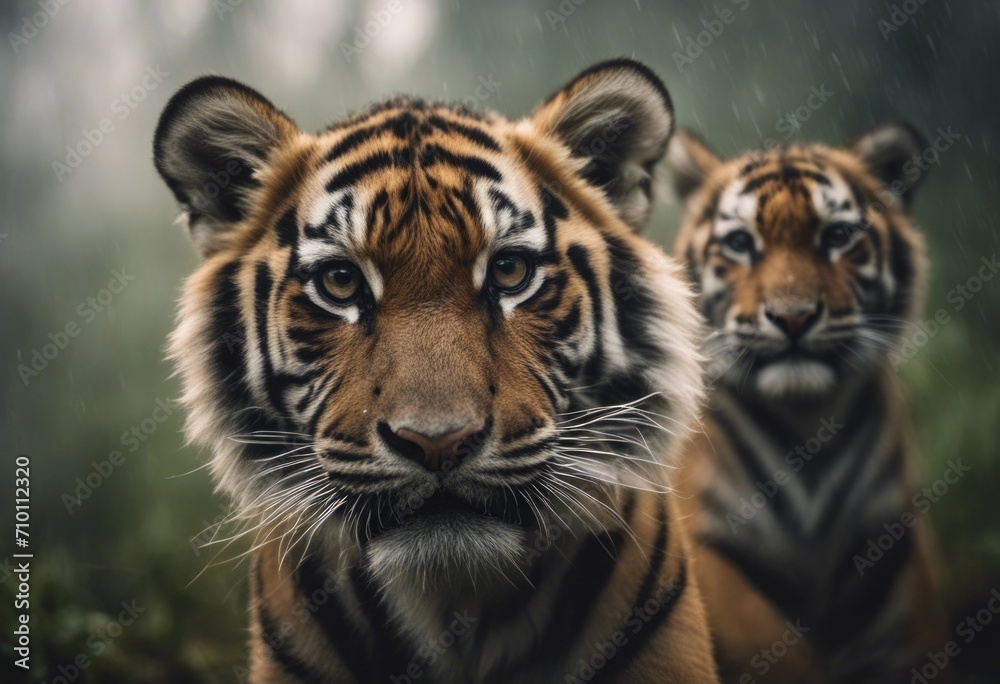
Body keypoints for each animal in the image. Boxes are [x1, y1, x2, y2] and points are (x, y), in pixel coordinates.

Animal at [666, 124, 947, 681]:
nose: (792, 316)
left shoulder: (892, 544)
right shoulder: (707, 548)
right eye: (740, 243)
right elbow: (770, 646)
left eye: (837, 237)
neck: (805, 422)